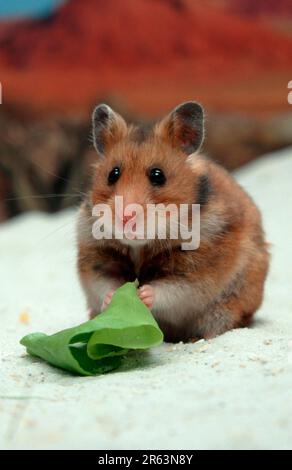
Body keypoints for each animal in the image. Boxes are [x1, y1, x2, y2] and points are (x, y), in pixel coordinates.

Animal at [77, 101, 270, 342]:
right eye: (113, 174)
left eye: (158, 175)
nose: (125, 217)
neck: (140, 246)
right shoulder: (96, 260)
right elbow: (105, 284)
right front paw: (114, 297)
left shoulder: (195, 272)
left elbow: (171, 290)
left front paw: (143, 294)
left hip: (228, 307)